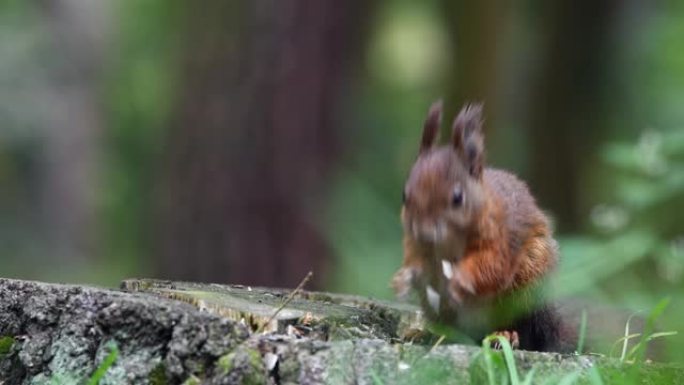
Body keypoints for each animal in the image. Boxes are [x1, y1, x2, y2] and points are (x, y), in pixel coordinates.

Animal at [392, 101, 564, 352]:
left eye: (457, 197)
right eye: (404, 195)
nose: (423, 232)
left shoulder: (502, 238)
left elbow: (492, 265)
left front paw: (460, 280)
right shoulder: (414, 243)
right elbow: (415, 261)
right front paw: (402, 279)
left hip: (528, 286)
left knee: (525, 330)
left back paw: (505, 335)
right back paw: (430, 333)